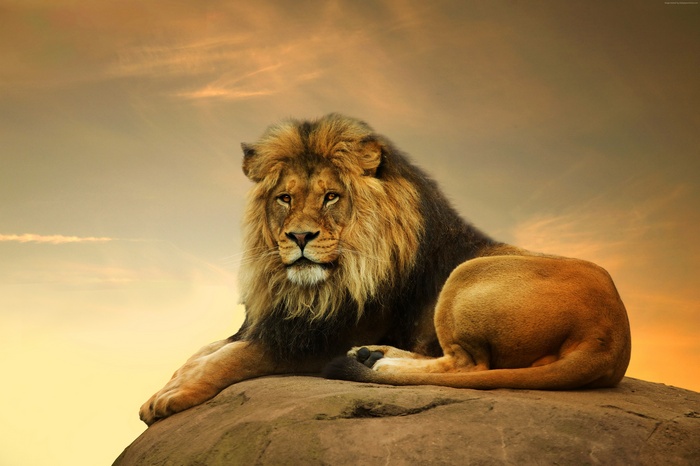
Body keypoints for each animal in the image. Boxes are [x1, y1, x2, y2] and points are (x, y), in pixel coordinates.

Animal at [139, 114, 631, 426]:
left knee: (467, 364)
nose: (300, 237)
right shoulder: (277, 322)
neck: (314, 288)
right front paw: (167, 386)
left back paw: (375, 361)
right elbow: (204, 352)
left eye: (330, 197)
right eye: (284, 198)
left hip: (467, 277)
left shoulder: (315, 341)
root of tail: (612, 336)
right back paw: (373, 356)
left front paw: (172, 397)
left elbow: (233, 357)